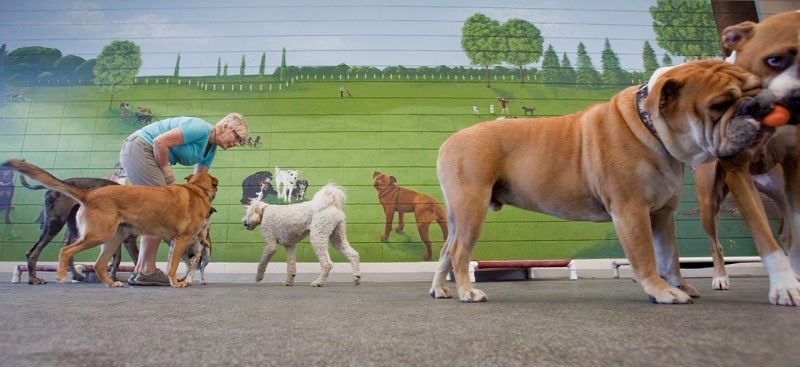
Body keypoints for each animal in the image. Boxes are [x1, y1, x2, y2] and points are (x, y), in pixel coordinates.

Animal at [2, 160, 219, 288]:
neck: (197, 188)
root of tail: (88, 194)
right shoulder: (180, 240)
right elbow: (172, 265)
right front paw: (175, 281)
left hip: (111, 239)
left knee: (99, 264)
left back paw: (109, 282)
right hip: (94, 234)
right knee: (64, 251)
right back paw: (60, 275)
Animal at [434, 60, 772, 304]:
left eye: (755, 88)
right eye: (718, 105)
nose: (757, 105)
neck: (648, 125)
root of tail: (449, 141)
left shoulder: (662, 215)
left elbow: (670, 256)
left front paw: (679, 284)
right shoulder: (632, 212)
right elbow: (646, 256)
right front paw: (661, 290)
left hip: (459, 214)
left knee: (445, 251)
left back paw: (441, 289)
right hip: (472, 209)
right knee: (459, 253)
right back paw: (467, 292)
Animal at [692, 10, 800, 304]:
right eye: (774, 60)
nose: (799, 98)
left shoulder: (794, 166)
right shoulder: (738, 173)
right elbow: (762, 235)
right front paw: (784, 286)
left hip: (777, 188)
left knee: (787, 233)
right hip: (709, 203)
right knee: (715, 243)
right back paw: (720, 277)